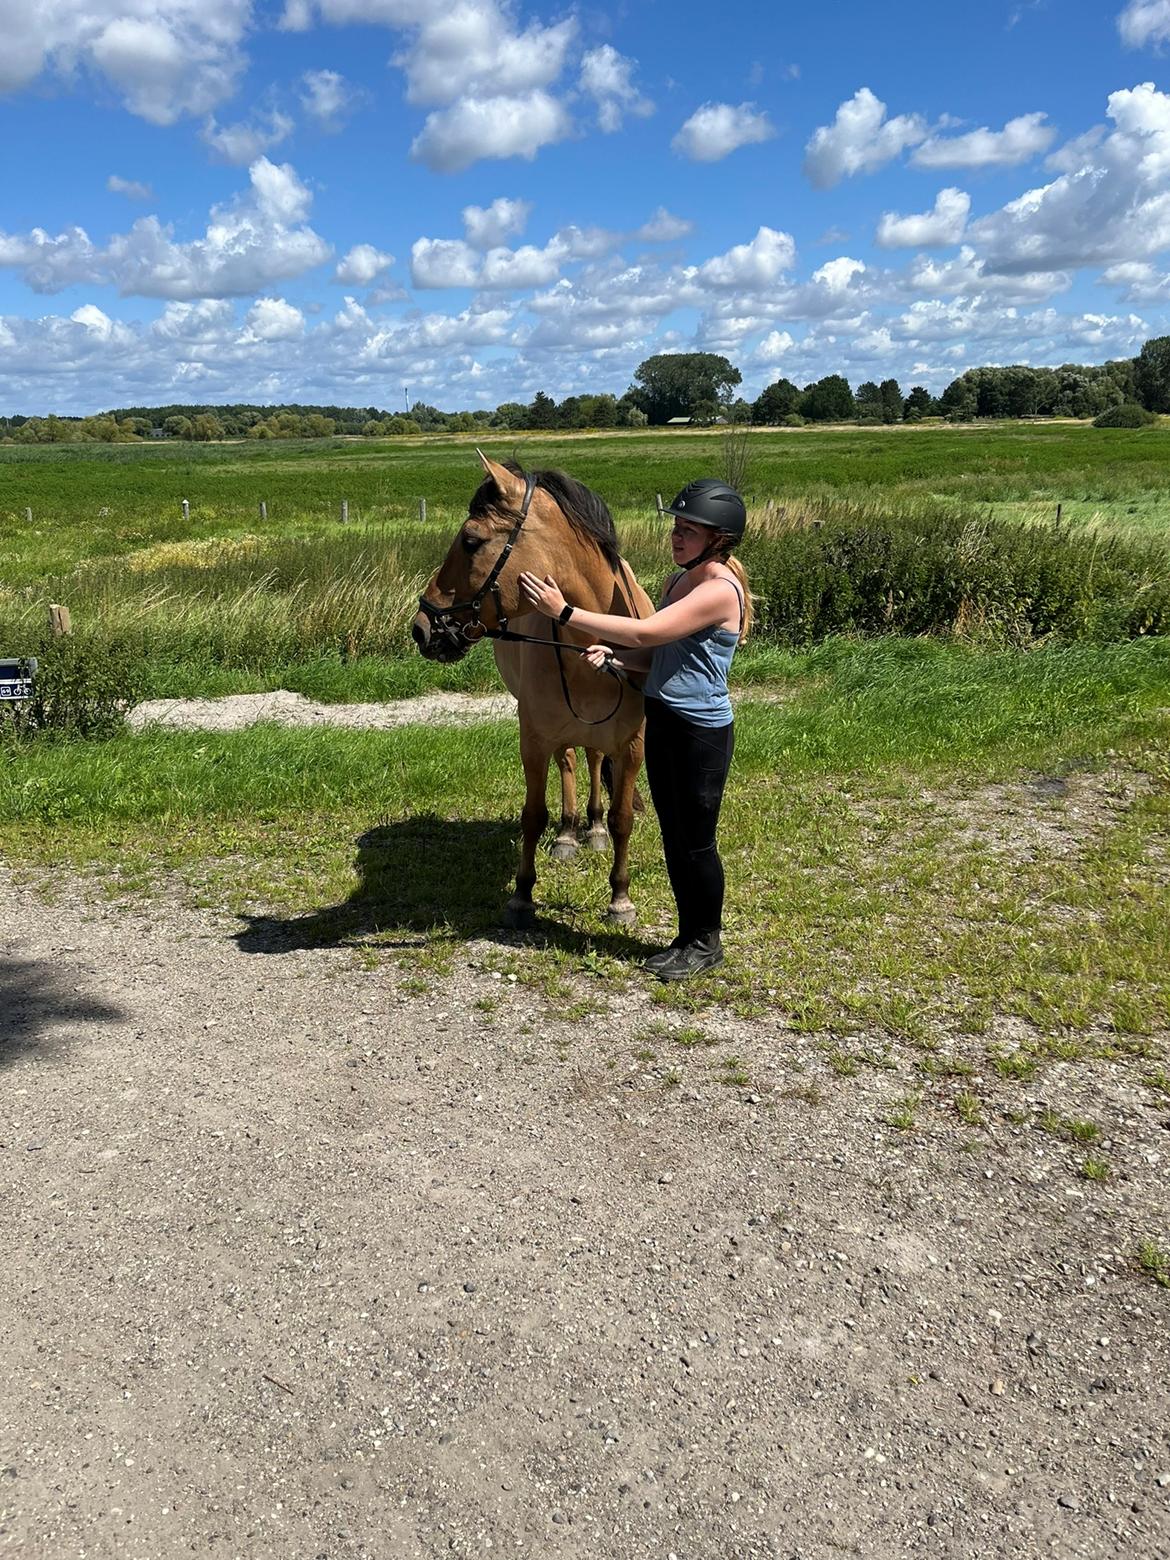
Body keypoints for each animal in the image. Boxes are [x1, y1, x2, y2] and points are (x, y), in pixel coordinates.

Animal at [411, 449, 655, 923]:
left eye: (470, 541)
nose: (421, 627)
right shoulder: (535, 741)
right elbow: (533, 814)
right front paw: (522, 893)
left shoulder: (632, 747)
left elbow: (623, 819)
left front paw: (620, 897)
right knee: (570, 762)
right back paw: (568, 834)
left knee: (593, 760)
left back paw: (592, 827)